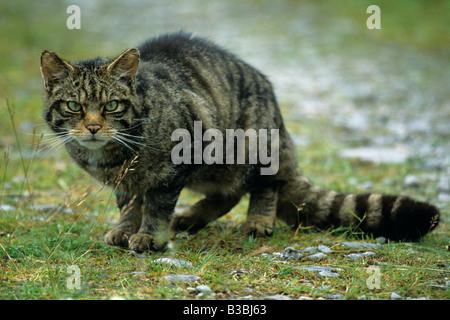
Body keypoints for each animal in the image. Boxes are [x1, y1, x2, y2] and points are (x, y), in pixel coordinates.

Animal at [39, 33, 440, 251]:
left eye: (111, 106)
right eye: (74, 106)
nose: (93, 127)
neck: (115, 157)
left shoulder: (174, 166)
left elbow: (155, 207)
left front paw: (150, 237)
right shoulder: (127, 184)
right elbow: (129, 206)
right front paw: (124, 231)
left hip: (252, 147)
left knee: (265, 186)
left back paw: (257, 222)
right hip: (212, 168)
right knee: (228, 194)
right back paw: (192, 217)